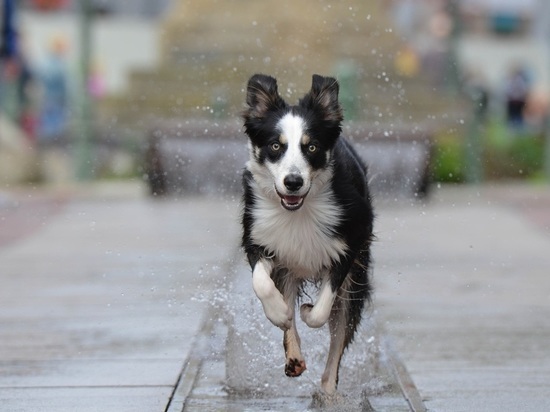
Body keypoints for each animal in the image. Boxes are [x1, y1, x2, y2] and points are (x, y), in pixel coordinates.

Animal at [242, 74, 376, 396]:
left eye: (312, 147)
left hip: (357, 277)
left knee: (339, 335)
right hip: (289, 268)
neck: (297, 211)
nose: (293, 182)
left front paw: (307, 311)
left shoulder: (349, 243)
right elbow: (262, 283)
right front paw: (279, 313)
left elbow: (322, 310)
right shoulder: (259, 236)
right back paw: (293, 354)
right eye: (275, 146)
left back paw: (327, 389)